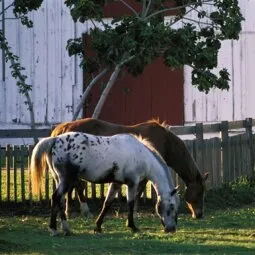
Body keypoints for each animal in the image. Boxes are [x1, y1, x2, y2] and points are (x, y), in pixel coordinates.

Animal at [30, 132, 179, 236]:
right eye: (171, 206)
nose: (171, 229)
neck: (141, 155)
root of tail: (55, 139)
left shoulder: (116, 183)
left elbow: (107, 203)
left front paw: (98, 226)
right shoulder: (132, 183)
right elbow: (130, 204)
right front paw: (132, 226)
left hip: (59, 180)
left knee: (60, 201)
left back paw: (66, 229)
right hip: (67, 180)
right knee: (55, 198)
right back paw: (54, 230)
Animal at [50, 117, 208, 219]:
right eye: (199, 192)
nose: (199, 214)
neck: (165, 142)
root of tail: (64, 127)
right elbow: (139, 190)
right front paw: (135, 210)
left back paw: (67, 210)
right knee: (78, 186)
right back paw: (84, 210)